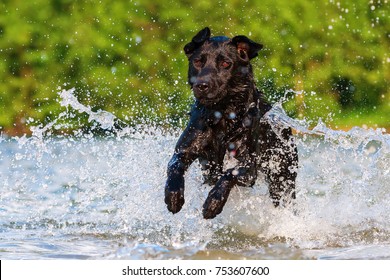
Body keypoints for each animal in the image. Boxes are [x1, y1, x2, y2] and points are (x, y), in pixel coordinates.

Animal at [163, 27, 298, 219]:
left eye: (226, 63)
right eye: (197, 61)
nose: (202, 85)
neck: (222, 114)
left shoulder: (249, 167)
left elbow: (229, 173)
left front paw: (214, 202)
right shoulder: (185, 149)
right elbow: (174, 165)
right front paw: (173, 195)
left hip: (282, 178)